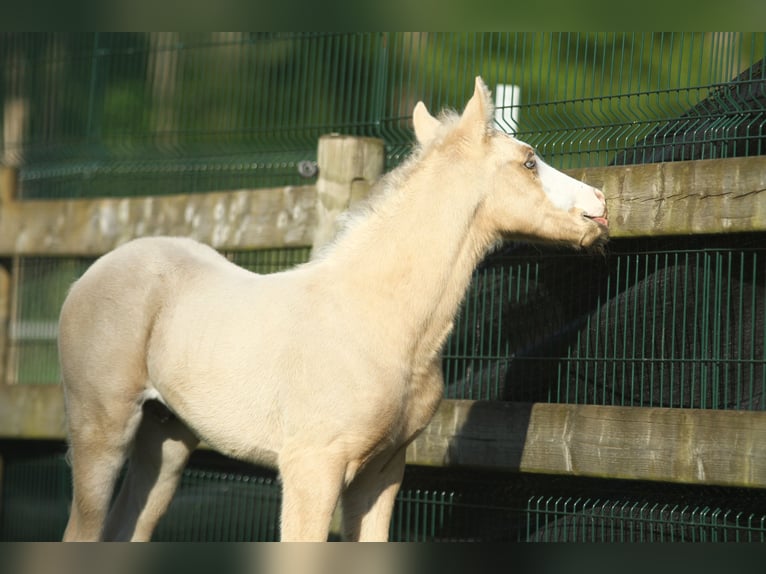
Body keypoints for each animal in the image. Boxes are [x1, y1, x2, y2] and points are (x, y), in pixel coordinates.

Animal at [60, 77, 608, 544]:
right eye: (529, 161)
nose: (601, 205)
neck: (379, 319)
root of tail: (91, 274)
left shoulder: (382, 472)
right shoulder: (312, 468)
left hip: (168, 439)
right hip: (101, 431)